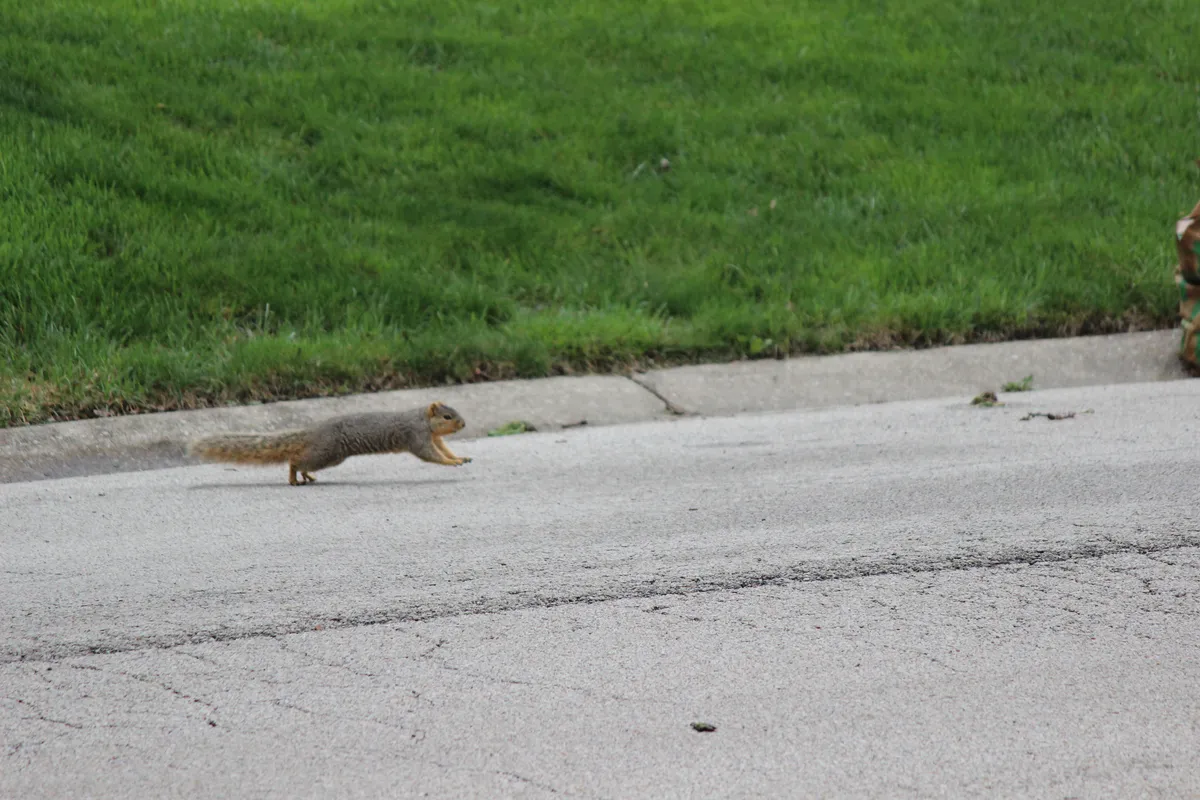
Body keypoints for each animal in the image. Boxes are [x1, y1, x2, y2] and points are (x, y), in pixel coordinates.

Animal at [188, 402, 472, 485]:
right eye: (447, 417)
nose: (463, 424)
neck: (423, 421)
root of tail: (314, 431)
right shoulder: (416, 436)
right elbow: (430, 455)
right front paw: (452, 463)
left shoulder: (434, 437)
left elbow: (444, 449)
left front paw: (460, 457)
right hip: (328, 453)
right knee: (295, 460)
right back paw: (294, 478)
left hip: (329, 455)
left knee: (303, 463)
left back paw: (307, 477)